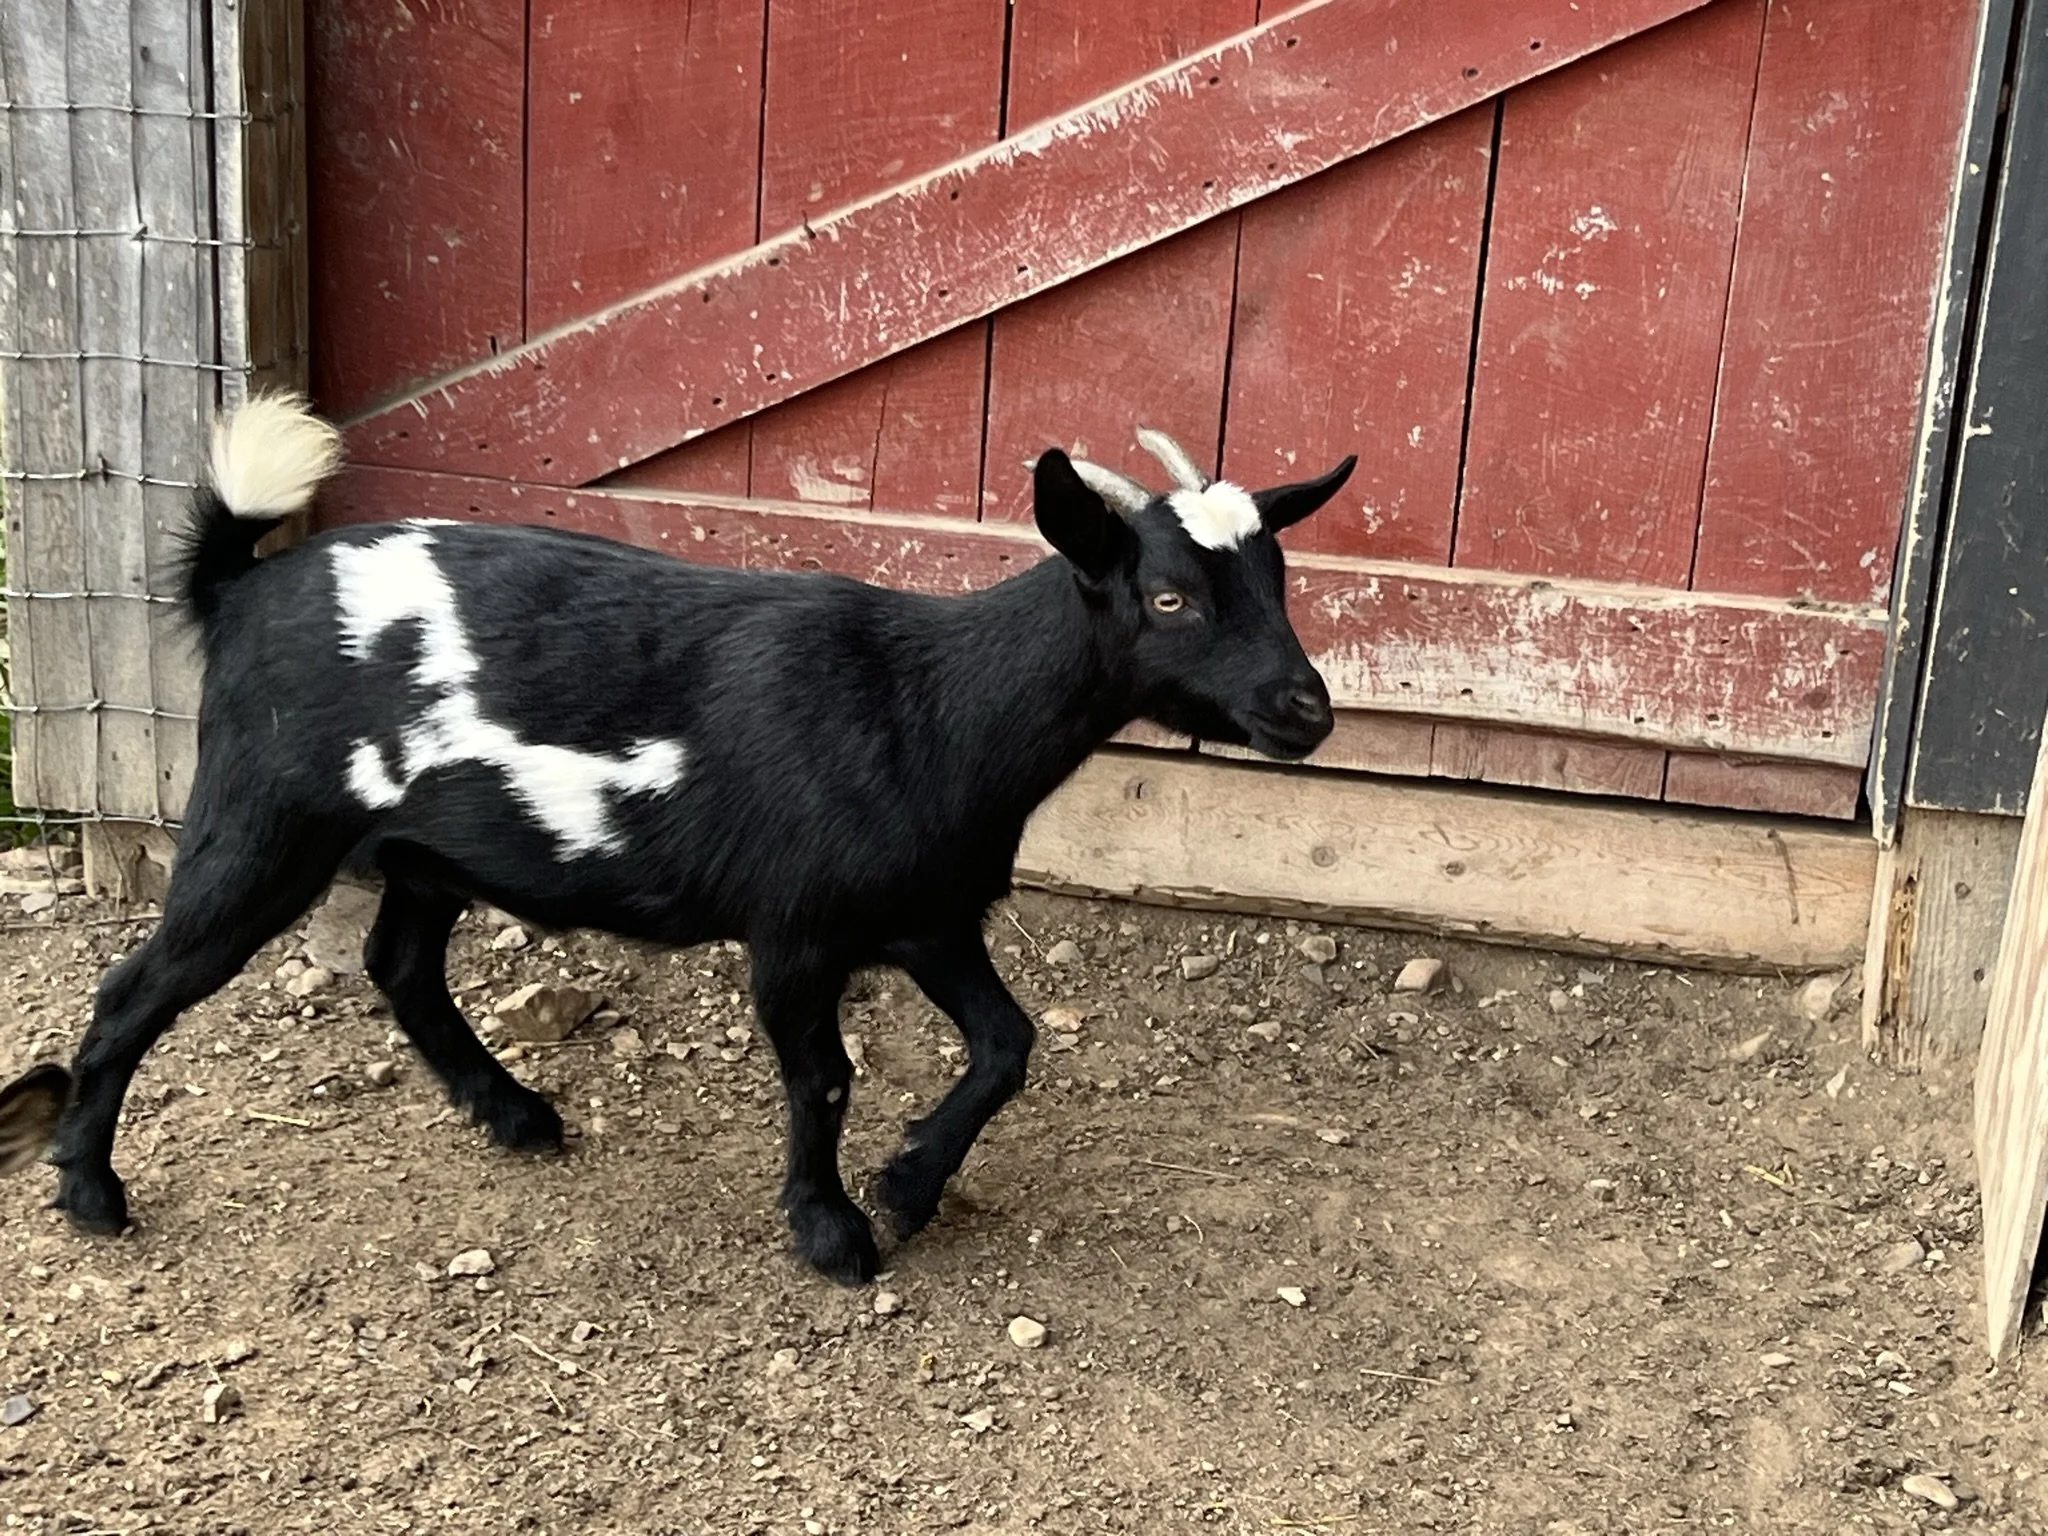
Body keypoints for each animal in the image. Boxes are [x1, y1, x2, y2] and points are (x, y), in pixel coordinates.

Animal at [0, 395, 1352, 1284]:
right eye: (1168, 597)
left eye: (1280, 581)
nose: (1306, 711)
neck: (923, 702)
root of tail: (242, 589)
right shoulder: (795, 927)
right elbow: (824, 1077)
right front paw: (833, 1234)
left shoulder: (925, 913)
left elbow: (1009, 1046)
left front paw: (909, 1185)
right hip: (263, 816)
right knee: (139, 983)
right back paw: (90, 1190)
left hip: (431, 850)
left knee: (401, 964)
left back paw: (515, 1115)